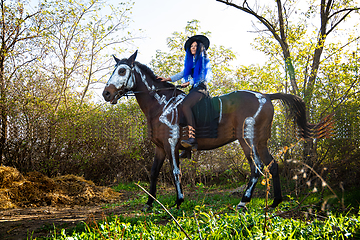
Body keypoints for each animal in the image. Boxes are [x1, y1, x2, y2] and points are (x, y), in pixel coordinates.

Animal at [102, 50, 330, 210]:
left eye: (122, 71)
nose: (106, 94)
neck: (162, 104)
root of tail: (265, 96)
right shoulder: (159, 148)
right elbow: (153, 173)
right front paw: (149, 203)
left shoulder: (171, 145)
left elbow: (175, 172)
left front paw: (179, 201)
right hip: (260, 142)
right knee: (272, 165)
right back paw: (275, 202)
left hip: (248, 141)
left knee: (257, 168)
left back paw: (244, 201)